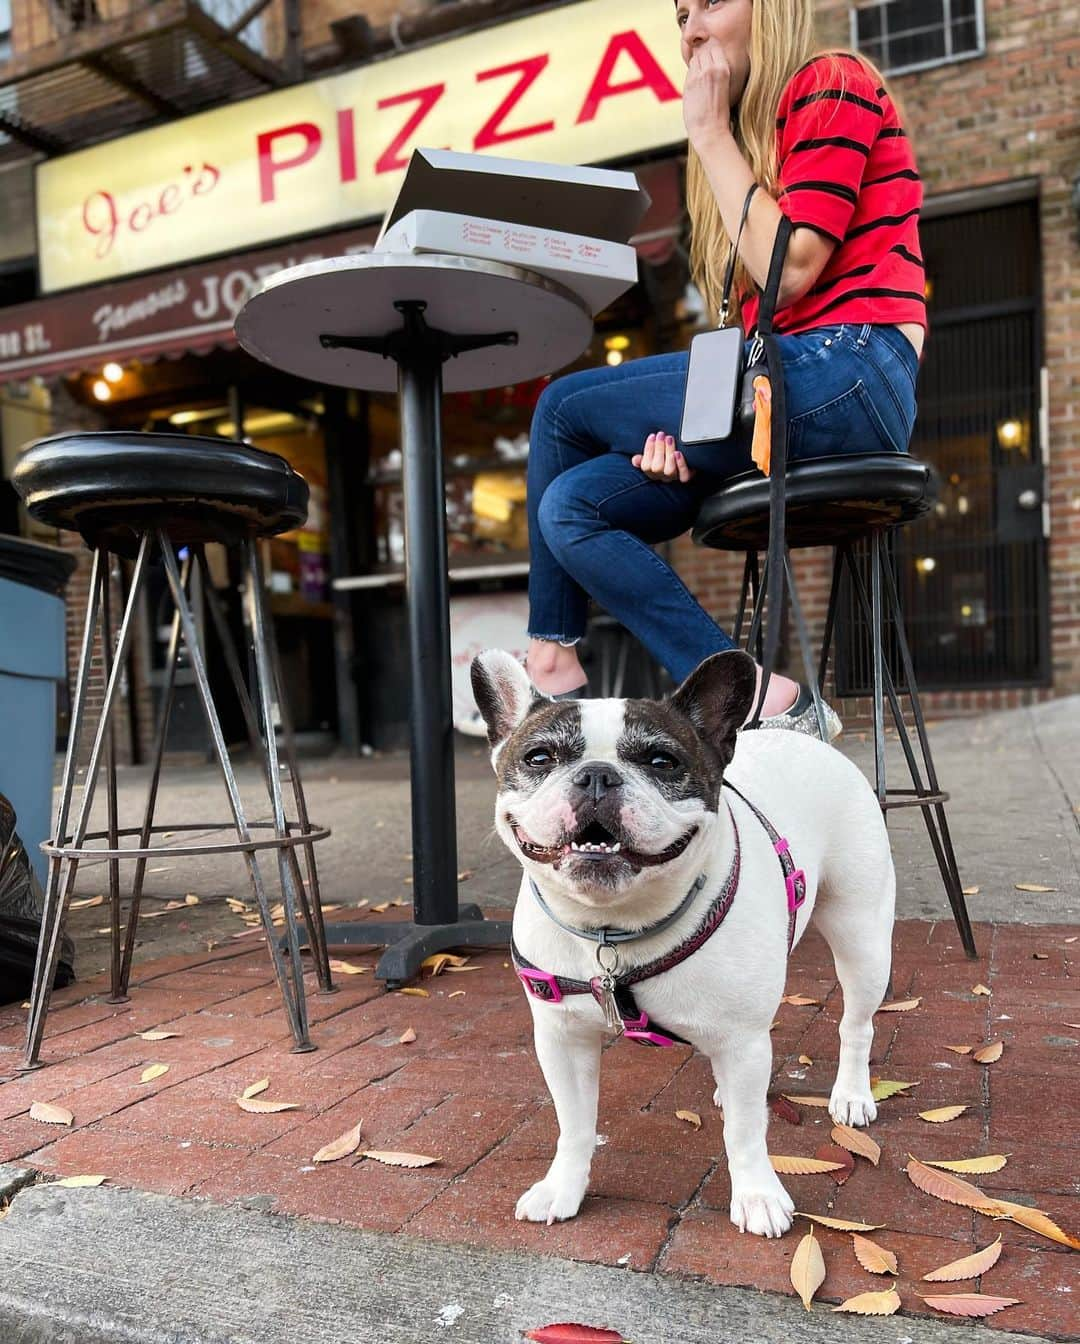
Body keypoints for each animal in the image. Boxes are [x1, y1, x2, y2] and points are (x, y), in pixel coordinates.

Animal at [472, 645, 891, 1231]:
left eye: (660, 761)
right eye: (538, 758)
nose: (597, 775)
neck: (614, 931)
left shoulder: (742, 1039)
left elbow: (746, 1131)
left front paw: (758, 1196)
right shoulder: (562, 1039)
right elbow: (574, 1124)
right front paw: (562, 1188)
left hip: (862, 937)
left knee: (856, 1023)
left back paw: (851, 1094)